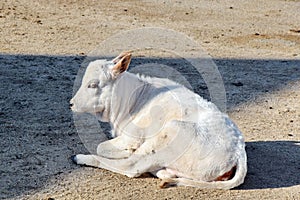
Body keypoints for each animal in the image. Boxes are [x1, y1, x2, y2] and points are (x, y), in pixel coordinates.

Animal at [70, 52, 246, 189]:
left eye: (93, 85)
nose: (71, 103)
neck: (134, 99)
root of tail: (238, 151)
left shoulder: (131, 138)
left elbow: (101, 147)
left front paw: (125, 151)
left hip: (167, 136)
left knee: (131, 166)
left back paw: (81, 158)